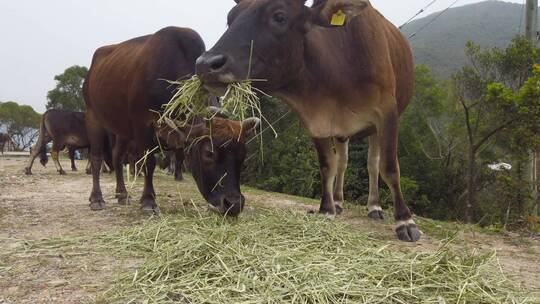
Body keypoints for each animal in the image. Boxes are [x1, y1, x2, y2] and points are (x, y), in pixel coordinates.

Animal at [84, 26, 260, 216]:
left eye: (243, 155)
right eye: (209, 153)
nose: (233, 204)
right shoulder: (142, 126)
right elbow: (149, 163)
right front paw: (148, 201)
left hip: (122, 130)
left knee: (117, 157)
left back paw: (122, 194)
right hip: (93, 117)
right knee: (96, 157)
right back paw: (96, 198)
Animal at [196, 0, 420, 242]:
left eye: (279, 16)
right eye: (230, 18)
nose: (205, 64)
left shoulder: (387, 114)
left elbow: (389, 167)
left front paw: (405, 221)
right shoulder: (317, 121)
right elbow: (327, 166)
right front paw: (326, 209)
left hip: (375, 129)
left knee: (372, 164)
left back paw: (374, 207)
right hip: (342, 134)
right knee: (343, 163)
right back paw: (338, 201)